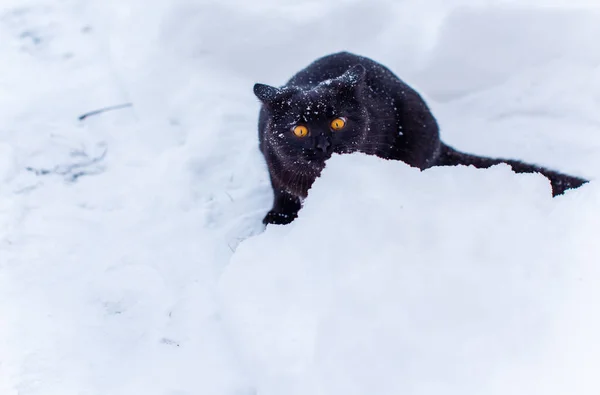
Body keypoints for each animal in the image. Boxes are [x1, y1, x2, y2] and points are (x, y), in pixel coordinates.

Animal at [253, 51, 584, 226]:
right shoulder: (271, 163)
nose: (323, 144)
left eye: (338, 123)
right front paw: (278, 217)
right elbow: (282, 191)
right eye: (300, 130)